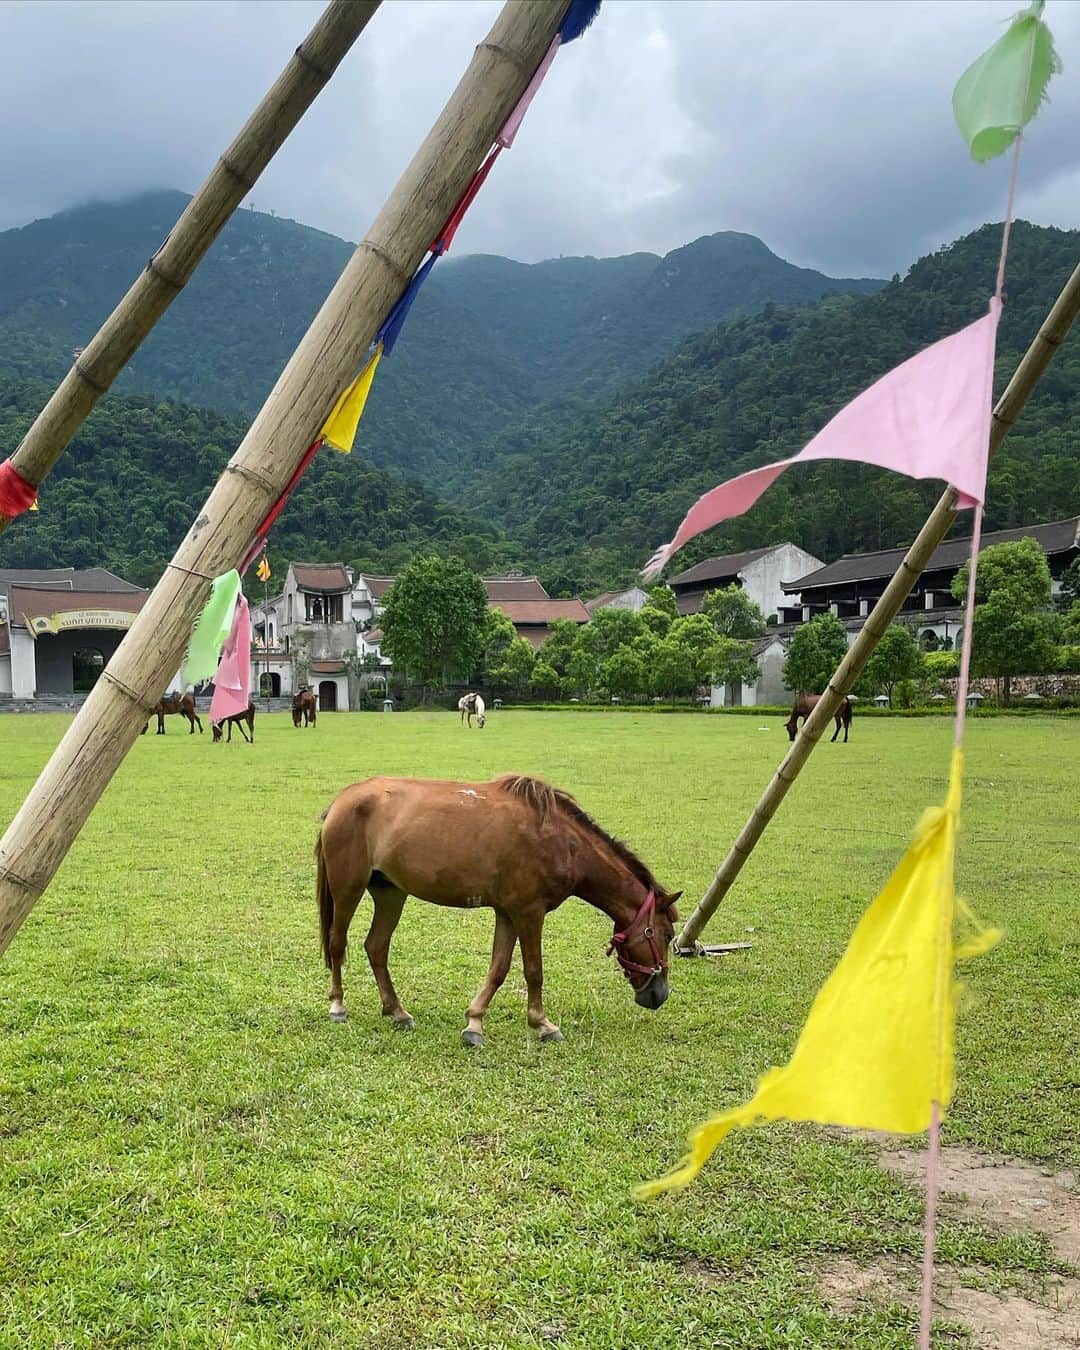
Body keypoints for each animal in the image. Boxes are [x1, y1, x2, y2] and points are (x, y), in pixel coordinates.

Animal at [316, 773, 681, 1047]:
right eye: (666, 935)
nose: (660, 994)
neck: (564, 843)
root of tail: (342, 800)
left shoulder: (508, 912)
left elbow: (499, 968)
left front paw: (474, 1023)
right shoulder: (529, 913)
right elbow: (533, 970)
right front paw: (543, 1024)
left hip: (391, 893)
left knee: (376, 947)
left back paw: (397, 1011)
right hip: (348, 888)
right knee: (337, 943)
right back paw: (337, 1005)